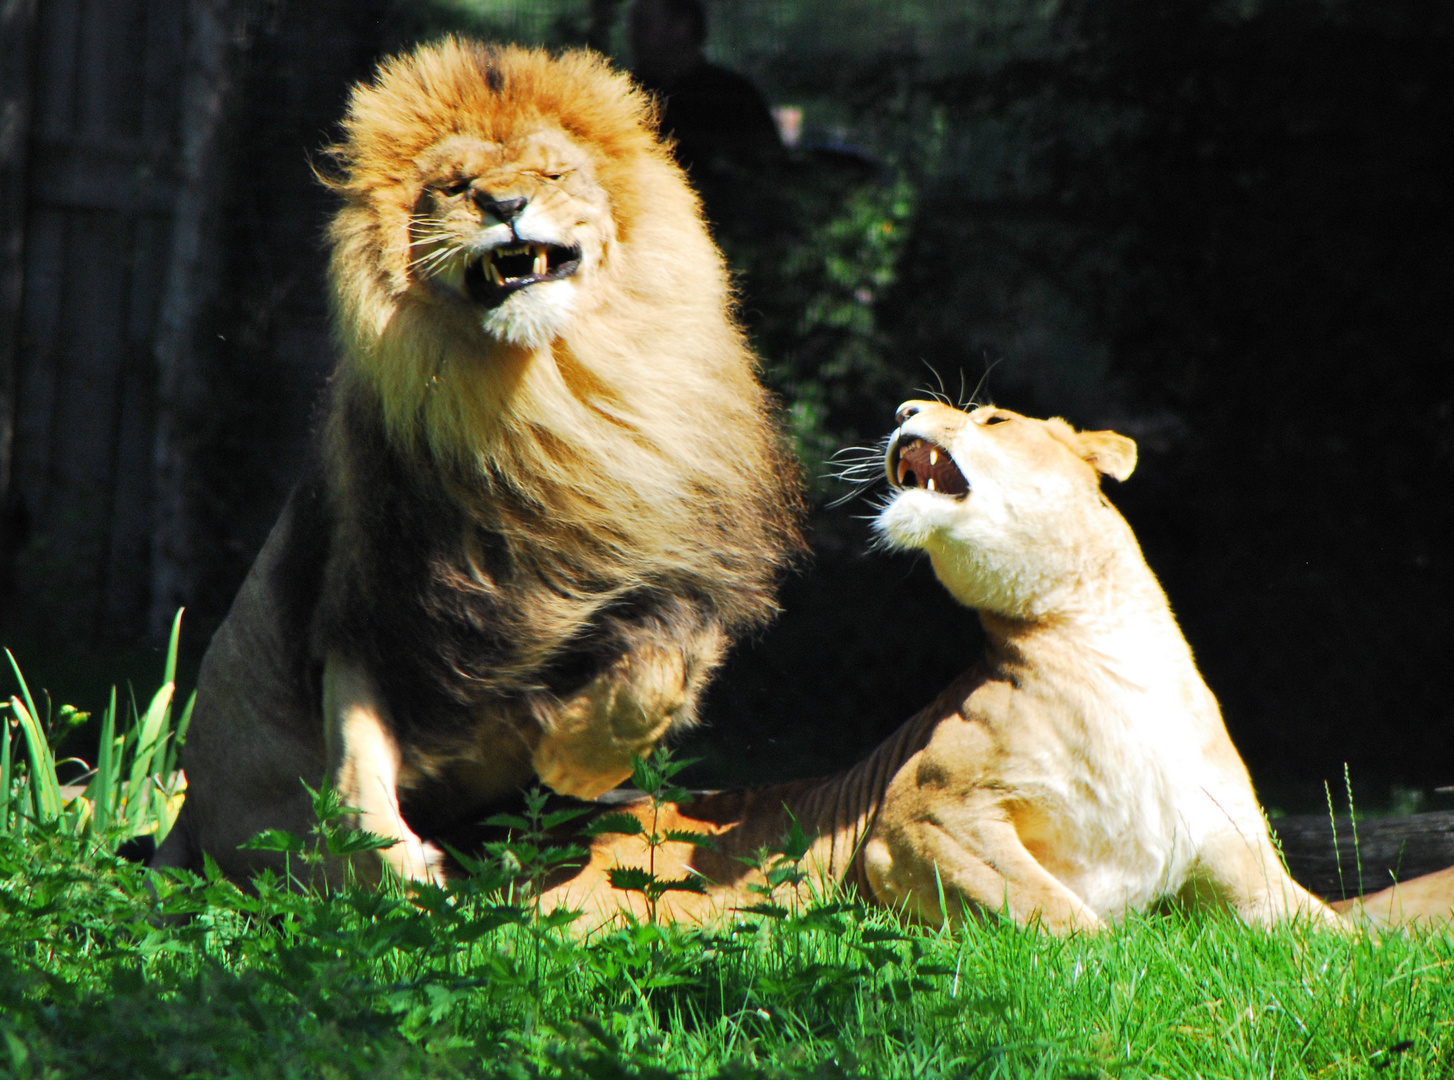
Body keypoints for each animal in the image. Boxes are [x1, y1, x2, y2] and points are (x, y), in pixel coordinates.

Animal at [156, 42, 808, 889]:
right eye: (457, 186)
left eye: (553, 175)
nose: (505, 204)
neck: (538, 409)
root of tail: (189, 821)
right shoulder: (374, 606)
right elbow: (356, 773)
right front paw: (400, 876)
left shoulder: (676, 573)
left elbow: (656, 678)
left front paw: (573, 762)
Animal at [546, 401, 1349, 936]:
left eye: (993, 418)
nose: (905, 409)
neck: (1109, 640)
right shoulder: (920, 820)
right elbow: (1072, 922)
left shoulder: (1241, 854)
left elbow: (1344, 944)